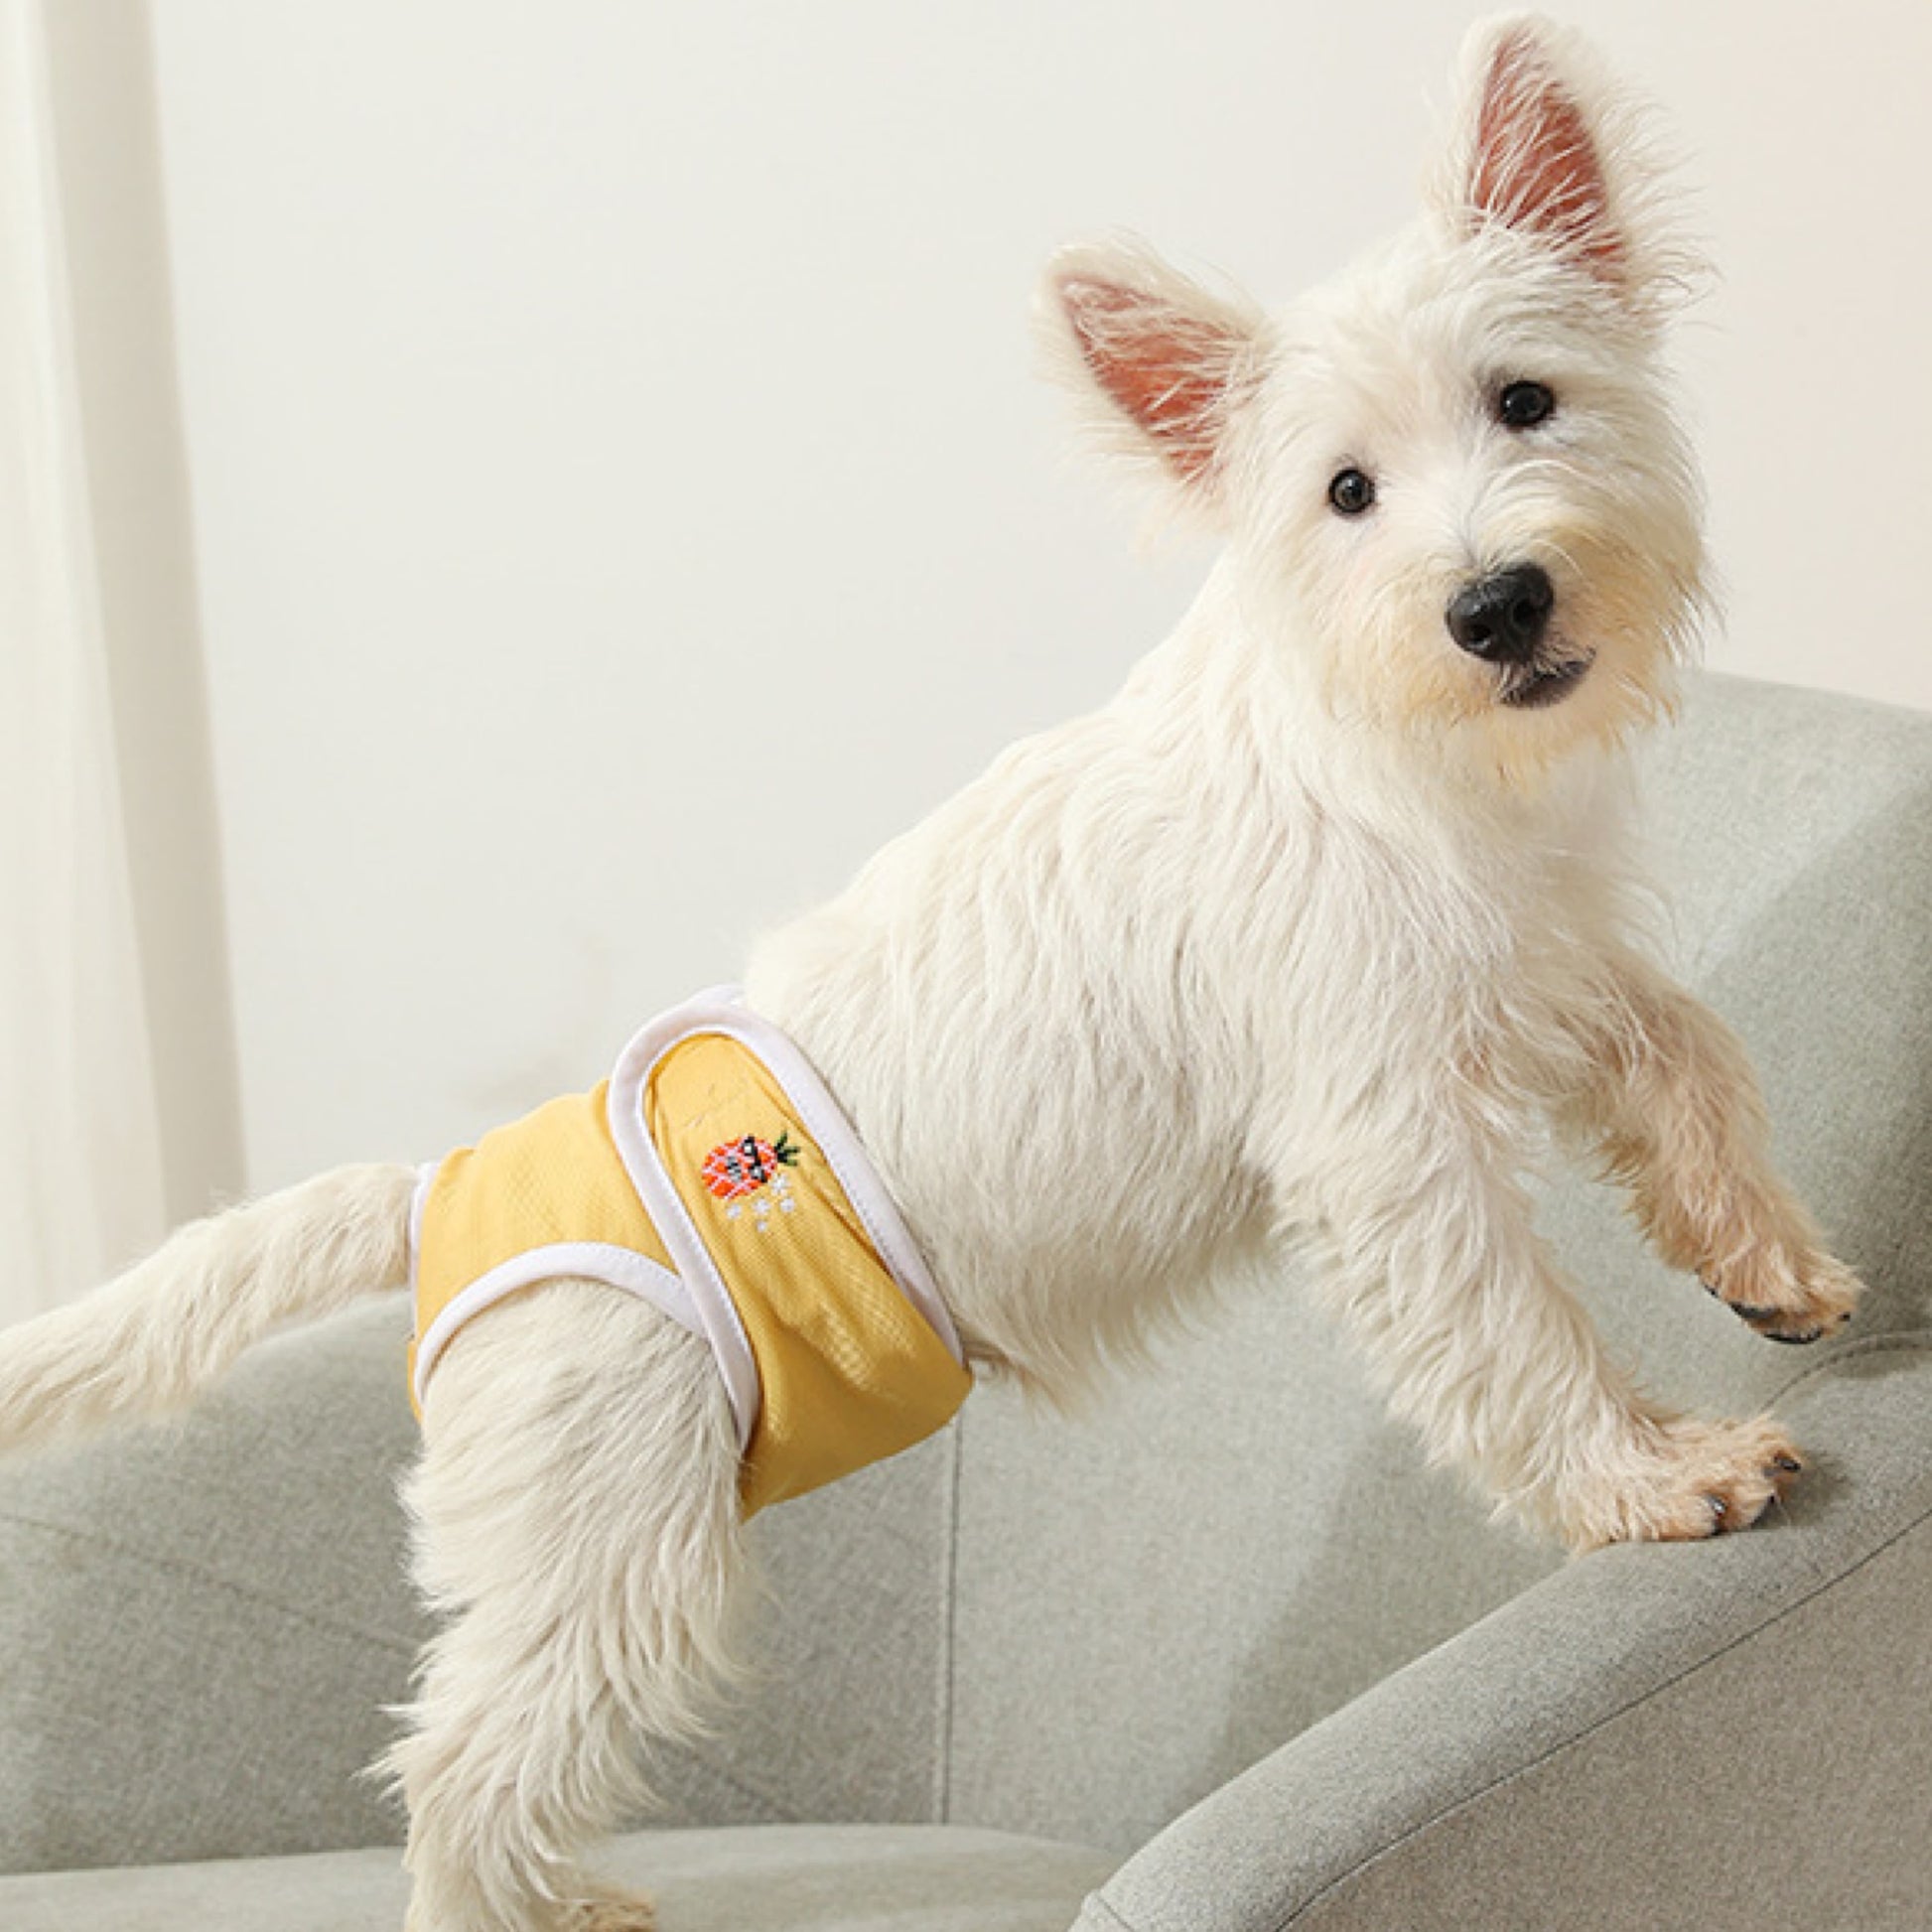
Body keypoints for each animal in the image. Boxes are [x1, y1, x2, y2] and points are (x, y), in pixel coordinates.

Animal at [0, 18, 1869, 1932]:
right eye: (1344, 491)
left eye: (1526, 400)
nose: (1497, 603)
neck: (1411, 753)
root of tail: (450, 1187)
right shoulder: (1380, 1131)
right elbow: (1510, 1330)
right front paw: (1658, 1474)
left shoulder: (1548, 964)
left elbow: (1689, 1047)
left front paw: (1770, 1261)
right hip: (608, 1539)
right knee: (462, 1770)